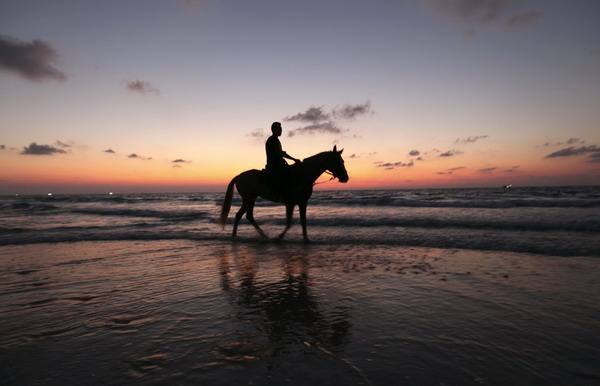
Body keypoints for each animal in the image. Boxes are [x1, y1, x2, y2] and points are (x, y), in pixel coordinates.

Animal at [218, 146, 350, 243]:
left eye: (343, 161)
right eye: (337, 161)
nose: (345, 178)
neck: (303, 175)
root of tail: (239, 176)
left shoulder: (303, 202)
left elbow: (303, 221)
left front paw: (306, 239)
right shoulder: (290, 203)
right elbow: (289, 222)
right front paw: (280, 237)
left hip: (249, 199)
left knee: (239, 215)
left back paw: (235, 235)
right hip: (249, 199)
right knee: (248, 216)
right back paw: (263, 235)